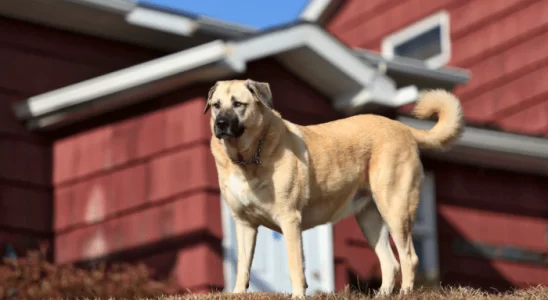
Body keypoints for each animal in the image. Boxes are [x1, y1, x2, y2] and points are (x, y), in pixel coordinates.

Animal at [204, 79, 462, 298]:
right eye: (216, 106)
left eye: (238, 104)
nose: (221, 124)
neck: (246, 160)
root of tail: (403, 128)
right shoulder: (244, 223)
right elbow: (243, 264)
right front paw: (238, 293)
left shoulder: (289, 219)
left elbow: (295, 264)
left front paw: (298, 295)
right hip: (370, 219)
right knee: (390, 262)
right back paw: (382, 295)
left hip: (396, 209)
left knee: (409, 257)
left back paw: (405, 294)